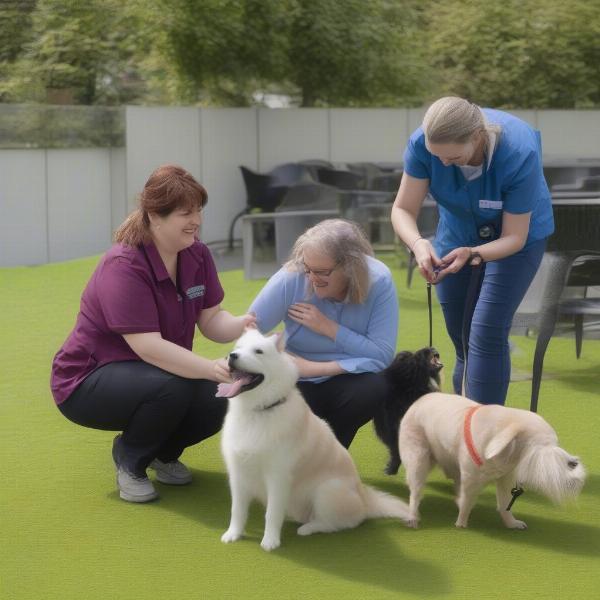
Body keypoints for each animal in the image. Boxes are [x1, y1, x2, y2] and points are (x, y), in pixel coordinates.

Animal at [218, 330, 410, 552]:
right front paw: (233, 534)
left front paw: (270, 541)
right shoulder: (238, 473)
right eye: (238, 348)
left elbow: (272, 513)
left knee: (340, 523)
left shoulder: (278, 477)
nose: (231, 356)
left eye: (258, 351)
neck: (259, 411)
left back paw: (308, 528)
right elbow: (237, 510)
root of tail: (364, 499)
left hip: (327, 490)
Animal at [398, 394, 584, 528]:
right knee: (416, 491)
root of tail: (419, 400)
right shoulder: (471, 478)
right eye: (544, 445)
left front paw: (512, 523)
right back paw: (413, 517)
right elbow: (467, 501)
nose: (574, 463)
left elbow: (504, 503)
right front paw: (461, 523)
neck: (508, 453)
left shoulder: (506, 478)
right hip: (418, 458)